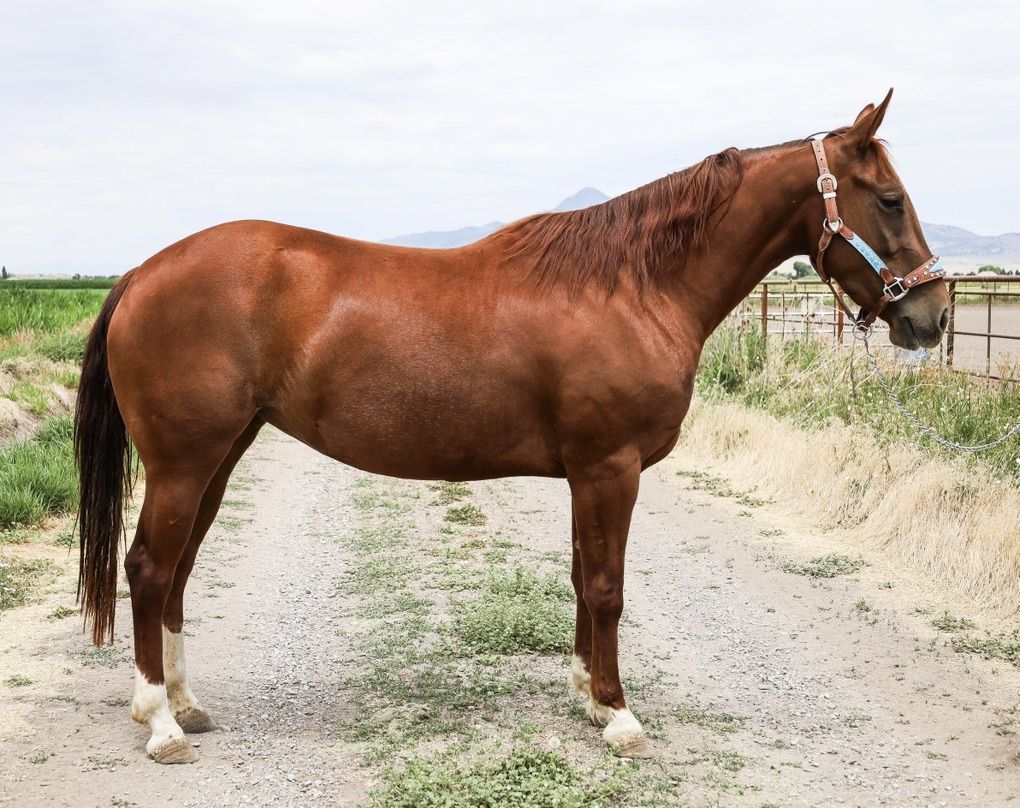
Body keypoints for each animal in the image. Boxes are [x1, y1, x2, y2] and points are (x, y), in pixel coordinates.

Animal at [74, 90, 948, 763]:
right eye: (890, 198)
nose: (932, 316)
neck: (633, 286)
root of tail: (143, 272)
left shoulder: (589, 474)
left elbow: (582, 579)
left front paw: (588, 696)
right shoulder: (610, 468)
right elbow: (607, 587)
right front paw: (619, 715)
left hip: (221, 457)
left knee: (177, 573)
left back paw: (184, 704)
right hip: (186, 462)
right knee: (148, 569)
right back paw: (160, 726)